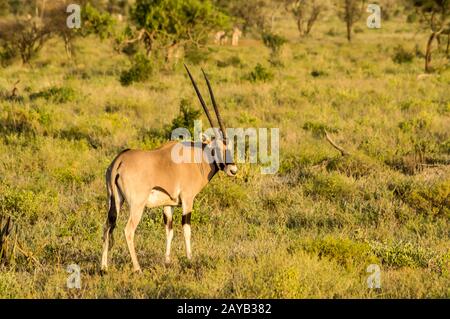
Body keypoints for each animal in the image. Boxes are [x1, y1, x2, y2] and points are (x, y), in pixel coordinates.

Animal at [100, 65, 237, 272]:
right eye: (216, 148)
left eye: (230, 147)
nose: (233, 170)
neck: (197, 158)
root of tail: (119, 161)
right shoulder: (187, 199)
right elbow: (186, 228)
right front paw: (189, 259)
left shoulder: (168, 204)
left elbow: (169, 230)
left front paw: (167, 260)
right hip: (137, 205)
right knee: (128, 230)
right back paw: (137, 268)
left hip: (114, 200)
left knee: (108, 226)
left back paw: (104, 267)